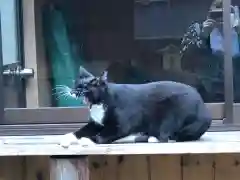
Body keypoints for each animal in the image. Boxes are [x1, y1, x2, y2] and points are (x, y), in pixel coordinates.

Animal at [60, 67, 212, 147]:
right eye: (76, 84)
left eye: (84, 87)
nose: (72, 91)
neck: (99, 103)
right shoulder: (96, 123)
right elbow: (82, 130)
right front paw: (67, 137)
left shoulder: (121, 126)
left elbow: (102, 136)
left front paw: (87, 140)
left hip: (173, 113)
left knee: (166, 136)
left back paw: (151, 138)